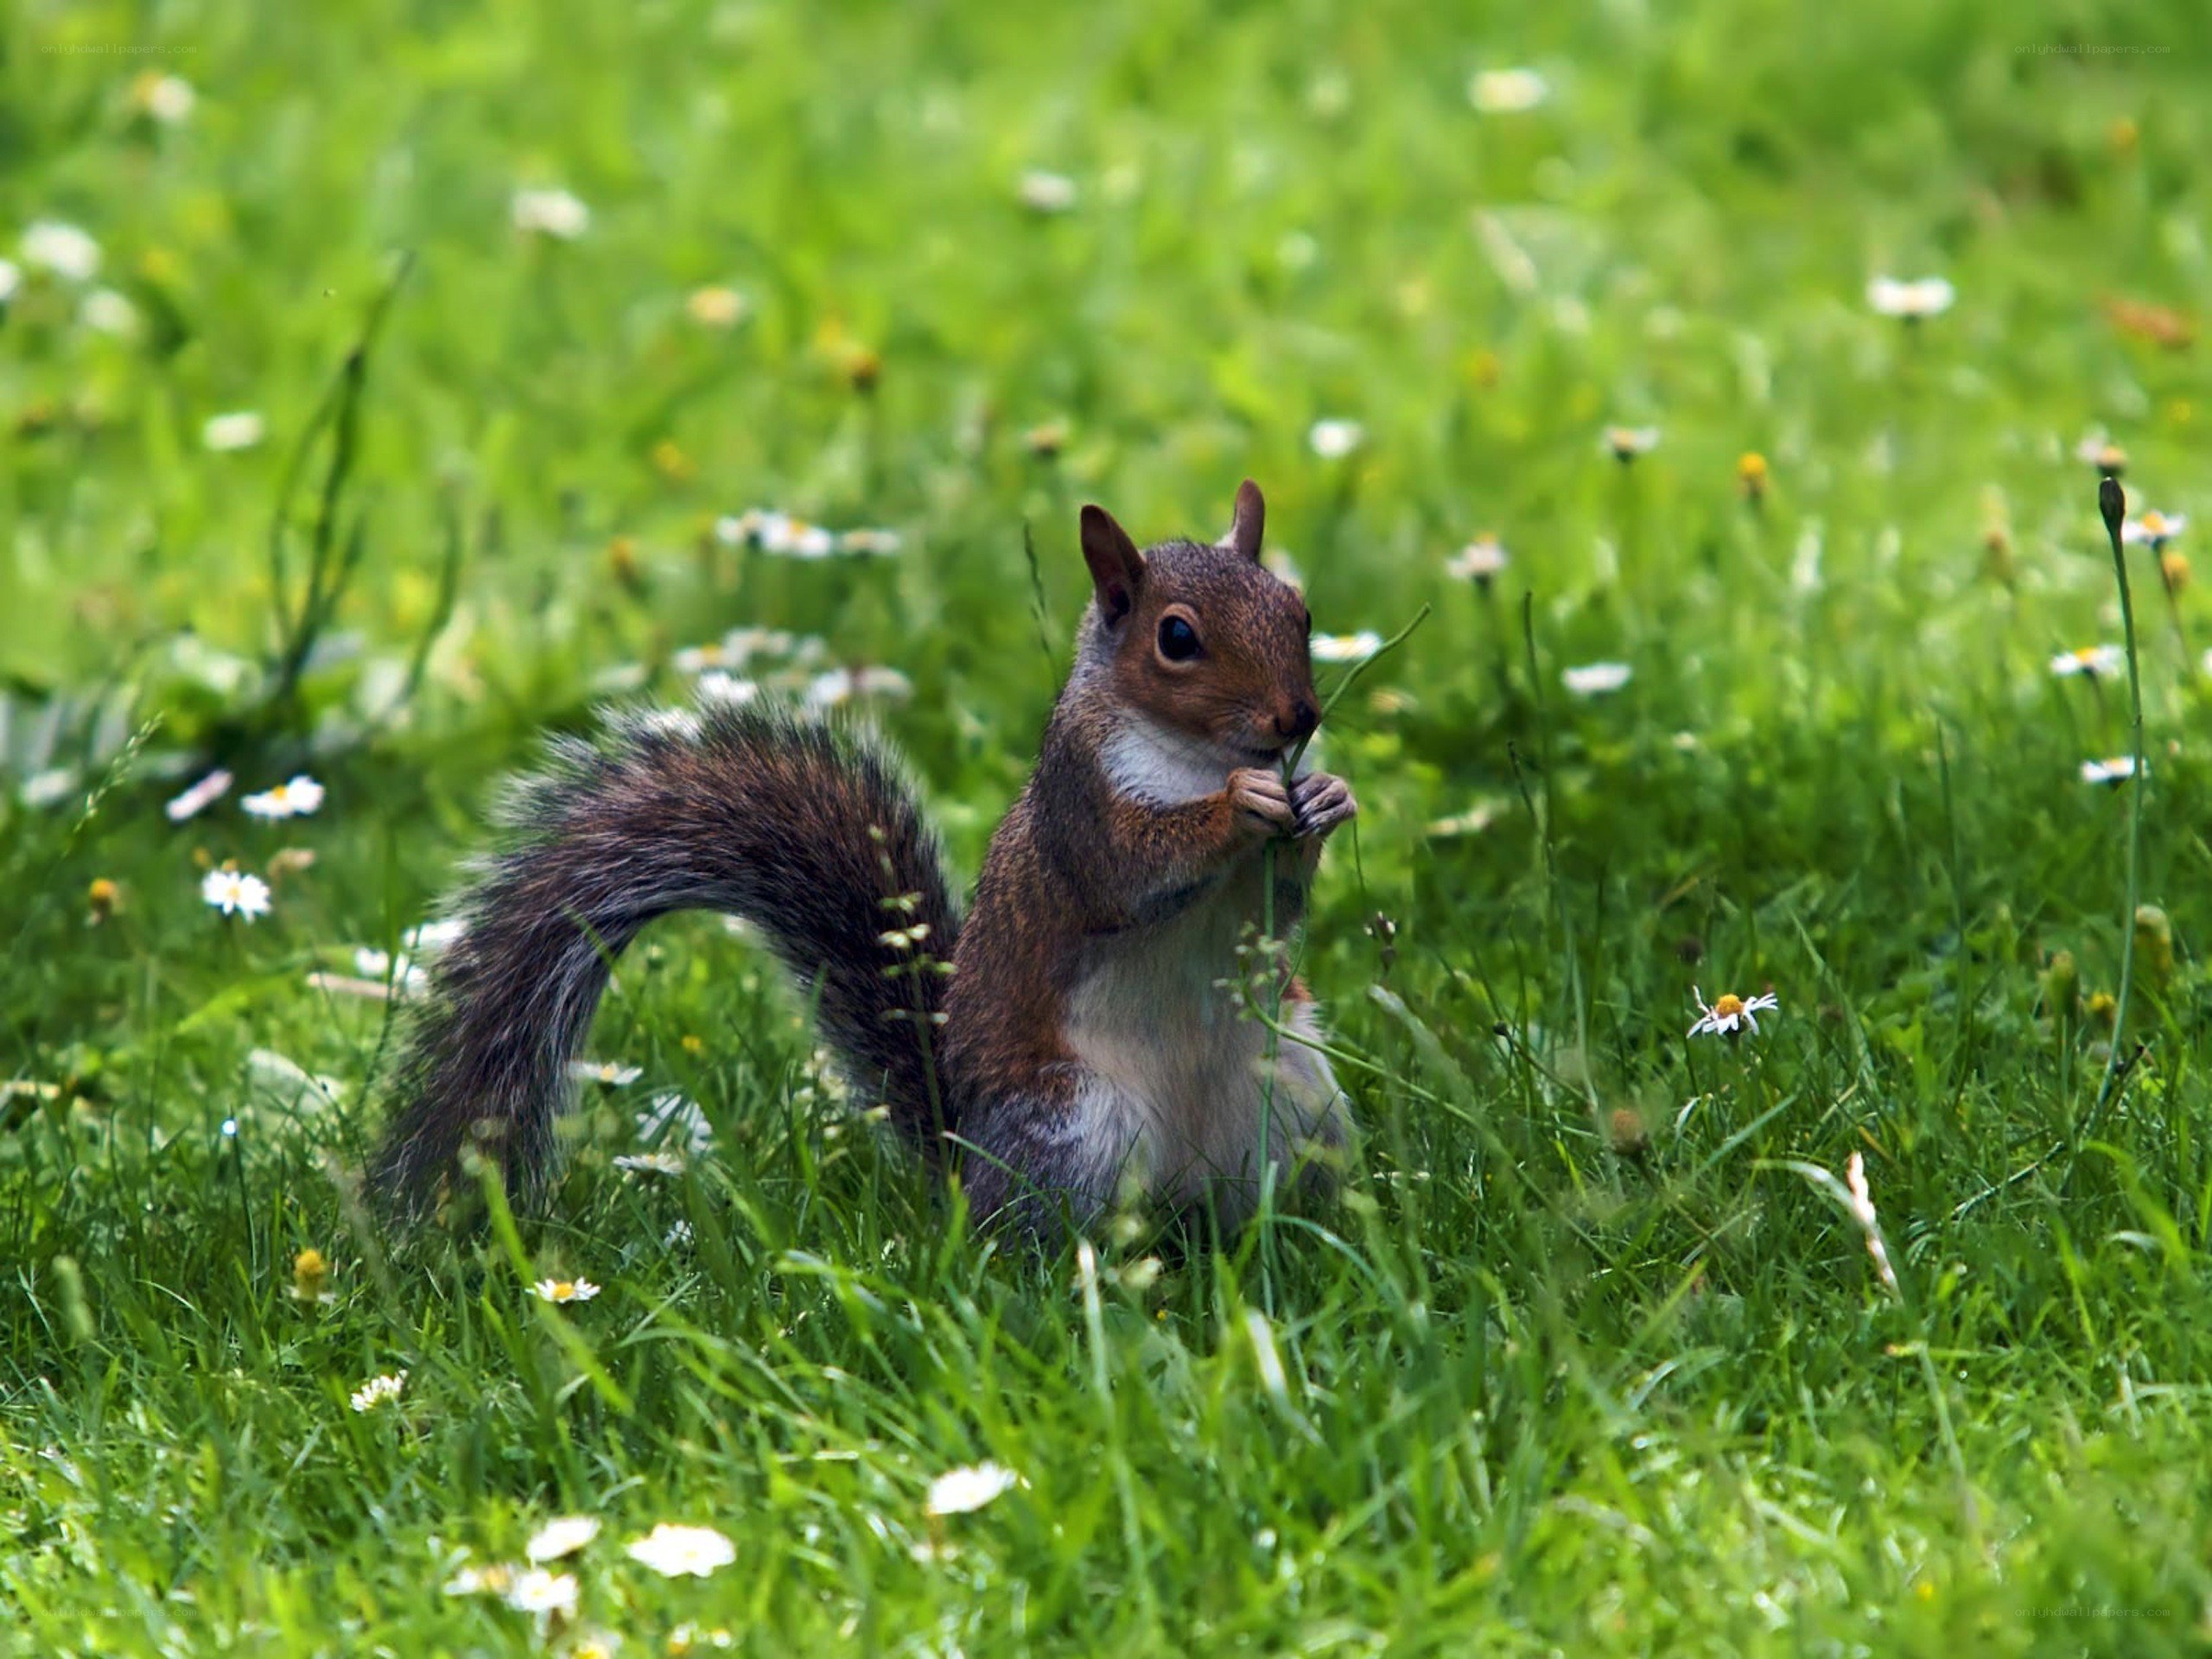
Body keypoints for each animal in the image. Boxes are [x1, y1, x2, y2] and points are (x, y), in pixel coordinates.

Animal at [372, 480, 1358, 1232]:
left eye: (1301, 610)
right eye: (1177, 638)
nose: (1298, 718)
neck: (1197, 756)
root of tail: (965, 1158)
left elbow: (1277, 907)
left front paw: (1325, 798)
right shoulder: (1078, 806)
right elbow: (1131, 867)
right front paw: (1240, 807)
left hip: (1296, 1095)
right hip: (1075, 1127)